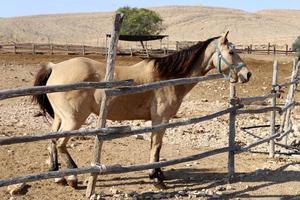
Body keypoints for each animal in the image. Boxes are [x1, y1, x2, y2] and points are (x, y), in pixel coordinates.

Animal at [32, 31, 251, 189]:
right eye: (231, 52)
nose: (247, 74)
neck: (168, 78)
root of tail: (55, 67)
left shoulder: (157, 121)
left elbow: (155, 146)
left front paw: (159, 174)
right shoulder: (160, 119)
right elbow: (157, 146)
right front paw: (156, 178)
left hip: (60, 118)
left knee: (51, 140)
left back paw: (57, 175)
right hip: (74, 119)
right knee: (60, 143)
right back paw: (72, 178)